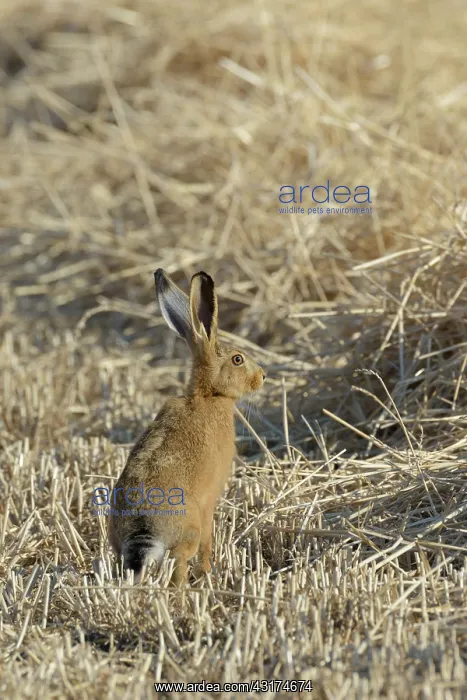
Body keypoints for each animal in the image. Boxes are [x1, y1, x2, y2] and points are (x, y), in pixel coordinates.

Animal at [108, 269, 265, 586]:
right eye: (238, 359)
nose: (262, 377)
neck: (209, 395)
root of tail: (142, 527)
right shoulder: (208, 503)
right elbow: (208, 542)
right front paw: (208, 572)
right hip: (187, 531)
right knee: (179, 563)